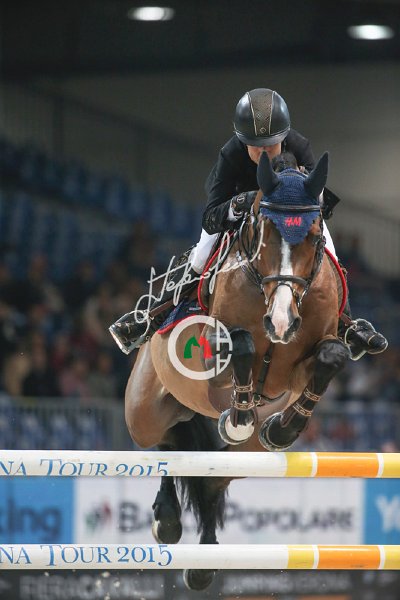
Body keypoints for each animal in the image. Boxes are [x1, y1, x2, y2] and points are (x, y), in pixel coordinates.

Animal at [124, 151, 350, 591]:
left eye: (316, 236)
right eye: (264, 232)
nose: (281, 323)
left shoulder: (301, 368)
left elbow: (331, 356)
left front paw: (282, 428)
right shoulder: (210, 357)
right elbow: (241, 344)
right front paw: (238, 417)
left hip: (253, 454)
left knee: (212, 475)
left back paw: (203, 564)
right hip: (143, 411)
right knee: (166, 443)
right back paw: (167, 520)